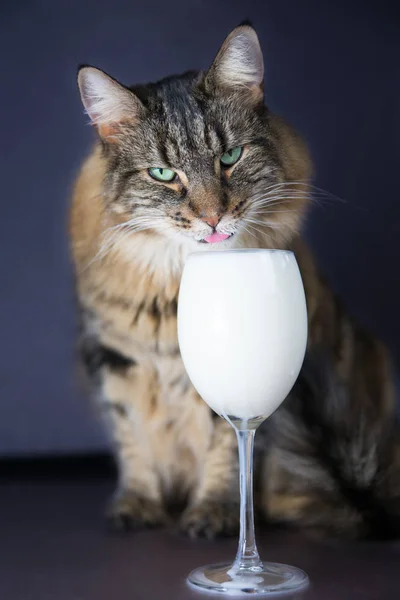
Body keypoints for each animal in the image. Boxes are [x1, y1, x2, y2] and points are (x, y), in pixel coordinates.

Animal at [70, 23, 398, 540]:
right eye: (163, 174)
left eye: (230, 156)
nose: (212, 217)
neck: (171, 296)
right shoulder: (114, 360)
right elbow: (133, 442)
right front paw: (138, 504)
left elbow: (226, 448)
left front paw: (215, 513)